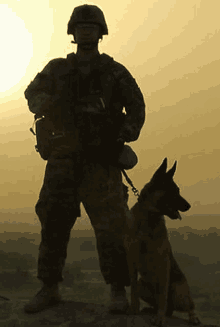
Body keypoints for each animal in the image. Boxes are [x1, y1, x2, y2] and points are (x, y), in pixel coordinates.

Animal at [124, 158, 201, 326]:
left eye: (178, 190)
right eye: (173, 191)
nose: (188, 206)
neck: (149, 217)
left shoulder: (163, 262)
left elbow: (162, 295)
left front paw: (159, 318)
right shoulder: (131, 260)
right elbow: (132, 288)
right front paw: (134, 308)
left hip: (179, 292)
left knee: (188, 305)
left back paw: (192, 317)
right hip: (142, 285)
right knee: (165, 306)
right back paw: (150, 310)